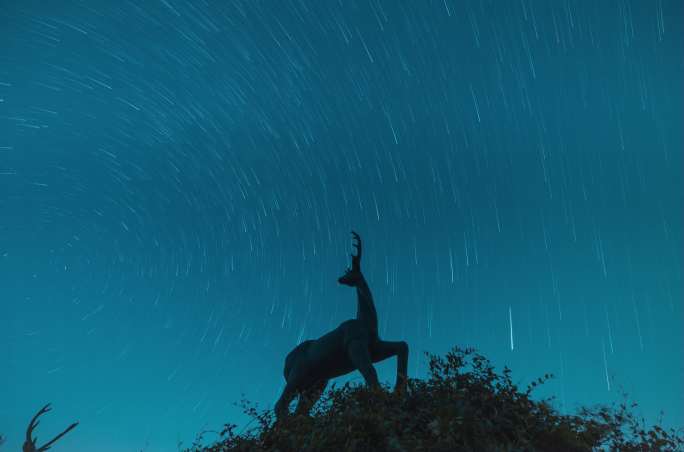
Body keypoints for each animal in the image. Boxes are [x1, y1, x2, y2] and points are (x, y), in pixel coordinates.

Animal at [276, 233, 408, 420]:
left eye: (351, 271)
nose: (340, 279)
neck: (366, 322)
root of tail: (285, 364)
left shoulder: (374, 347)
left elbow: (402, 345)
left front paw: (399, 392)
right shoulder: (355, 344)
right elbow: (370, 371)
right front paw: (383, 400)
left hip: (316, 383)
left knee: (301, 409)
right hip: (297, 377)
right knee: (280, 405)